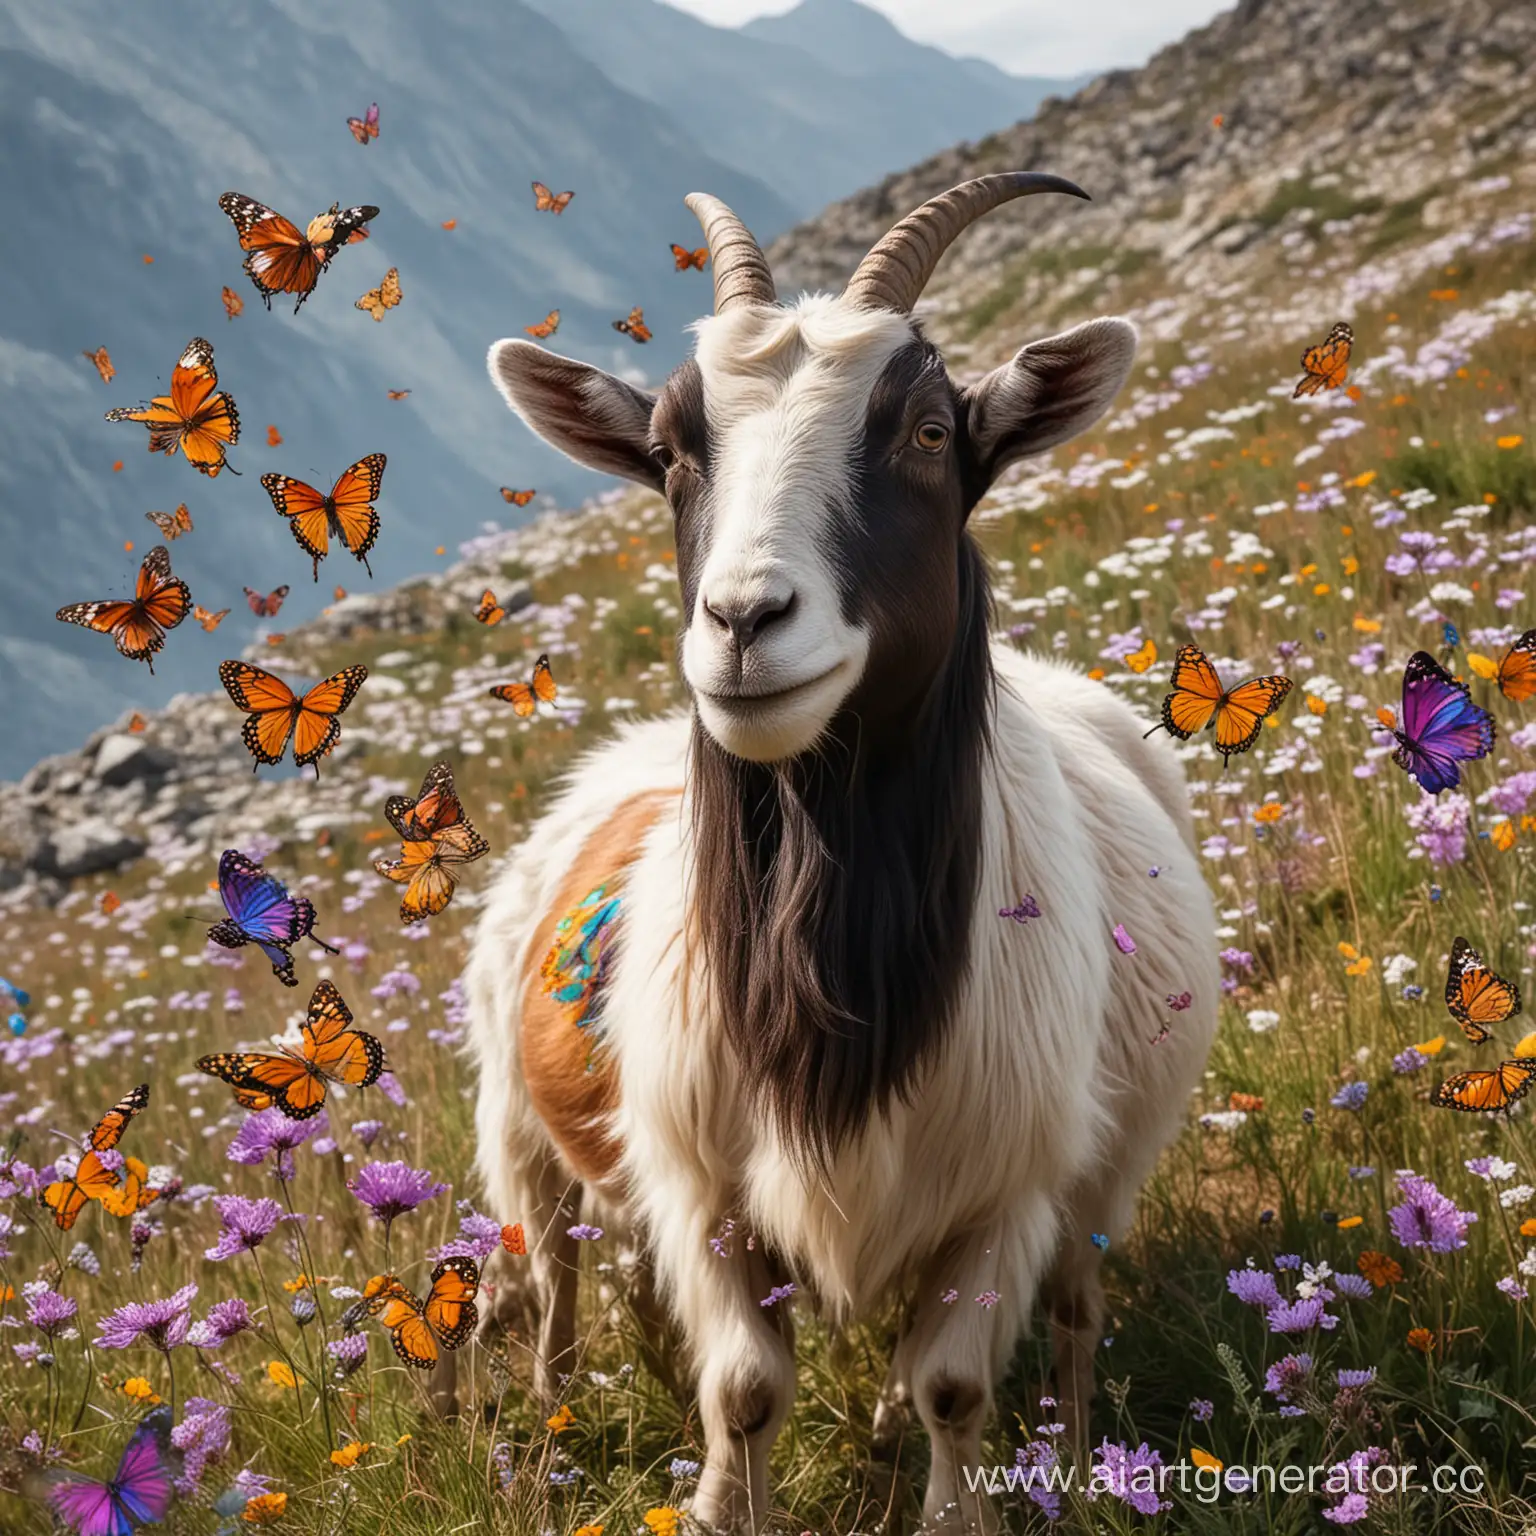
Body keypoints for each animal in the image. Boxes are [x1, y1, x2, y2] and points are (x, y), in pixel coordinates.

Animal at [460, 174, 1216, 1529]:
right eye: (670, 452)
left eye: (926, 431)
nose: (743, 622)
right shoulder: (705, 1188)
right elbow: (745, 1389)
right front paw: (719, 1506)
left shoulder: (1003, 1194)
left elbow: (953, 1387)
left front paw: (959, 1508)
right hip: (520, 1125)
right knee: (548, 1276)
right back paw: (550, 1419)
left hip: (1098, 1180)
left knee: (1070, 1318)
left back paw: (1071, 1456)